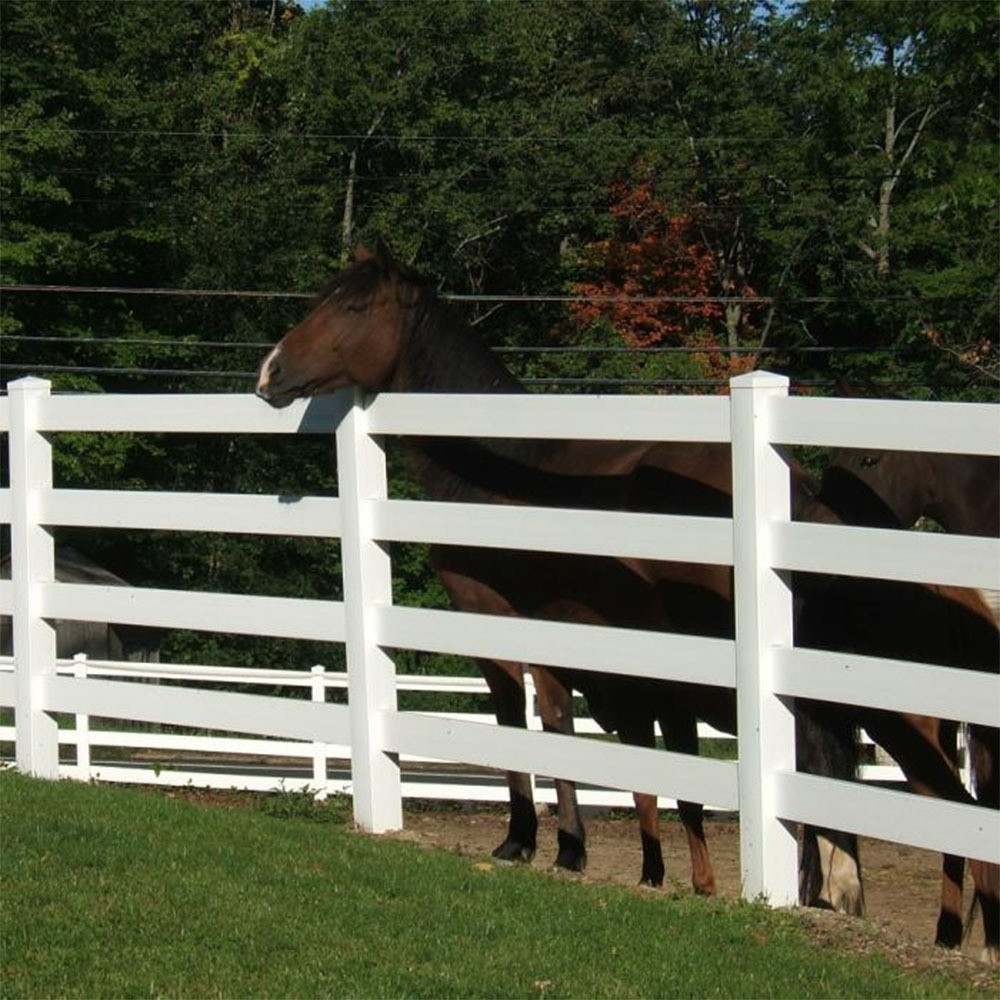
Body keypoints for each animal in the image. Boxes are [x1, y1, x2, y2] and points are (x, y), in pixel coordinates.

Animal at [256, 246, 992, 956]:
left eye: (352, 306)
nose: (270, 371)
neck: (500, 465)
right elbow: (576, 732)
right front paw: (588, 852)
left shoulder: (497, 621)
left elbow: (524, 722)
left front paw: (530, 841)